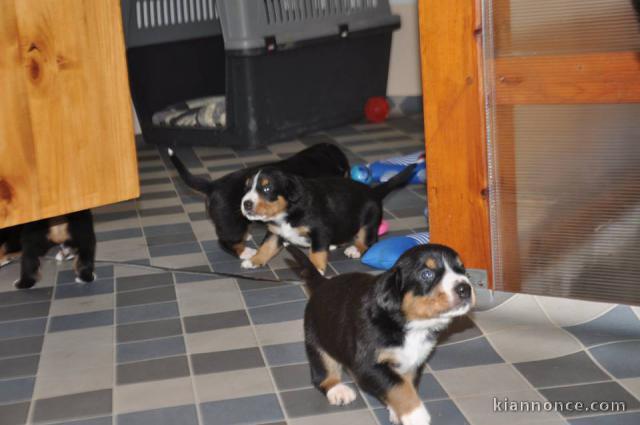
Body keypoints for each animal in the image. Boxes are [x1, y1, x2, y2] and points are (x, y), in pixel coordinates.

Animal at [239, 161, 416, 274]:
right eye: (247, 188)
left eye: (267, 188)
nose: (246, 204)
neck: (288, 211)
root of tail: (373, 191)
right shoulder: (275, 232)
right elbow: (266, 247)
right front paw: (254, 260)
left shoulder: (320, 230)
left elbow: (317, 251)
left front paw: (316, 267)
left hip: (368, 223)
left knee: (368, 241)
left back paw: (354, 249)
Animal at [288, 242, 472, 424]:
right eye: (427, 274)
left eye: (462, 269)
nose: (465, 288)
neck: (407, 324)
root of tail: (323, 283)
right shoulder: (368, 364)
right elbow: (399, 387)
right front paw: (416, 414)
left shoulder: (413, 361)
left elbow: (404, 384)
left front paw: (398, 412)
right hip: (316, 340)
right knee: (323, 375)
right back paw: (338, 390)